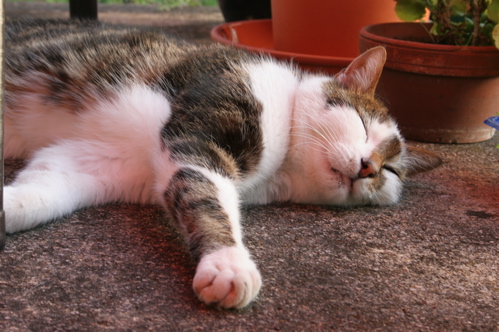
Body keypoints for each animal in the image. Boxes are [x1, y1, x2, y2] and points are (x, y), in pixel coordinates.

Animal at [3, 19, 442, 310]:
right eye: (363, 124)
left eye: (392, 171)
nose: (369, 167)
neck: (282, 159)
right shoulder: (199, 136)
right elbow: (208, 197)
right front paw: (228, 261)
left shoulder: (92, 159)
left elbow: (42, 190)